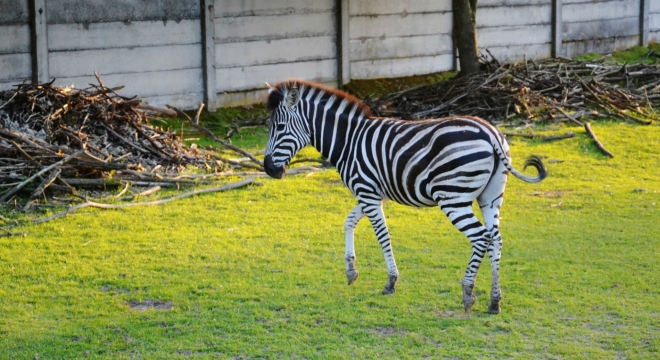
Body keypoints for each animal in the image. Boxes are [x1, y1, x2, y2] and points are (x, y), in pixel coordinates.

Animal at [262, 78, 548, 312]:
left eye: (280, 126)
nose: (269, 169)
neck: (348, 141)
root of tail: (491, 133)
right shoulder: (370, 193)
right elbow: (348, 221)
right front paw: (351, 270)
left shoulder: (367, 192)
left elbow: (382, 236)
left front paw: (390, 282)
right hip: (490, 197)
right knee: (496, 240)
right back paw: (494, 301)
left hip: (453, 197)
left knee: (481, 238)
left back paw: (468, 293)